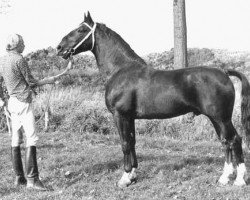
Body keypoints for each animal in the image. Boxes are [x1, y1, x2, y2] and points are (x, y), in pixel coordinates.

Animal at [56, 12, 250, 188]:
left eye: (81, 30)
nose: (59, 48)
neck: (121, 70)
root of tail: (224, 72)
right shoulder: (130, 118)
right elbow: (132, 142)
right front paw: (133, 175)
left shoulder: (120, 116)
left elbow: (125, 143)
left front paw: (124, 178)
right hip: (216, 118)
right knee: (225, 141)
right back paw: (224, 178)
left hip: (221, 118)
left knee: (235, 140)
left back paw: (239, 180)